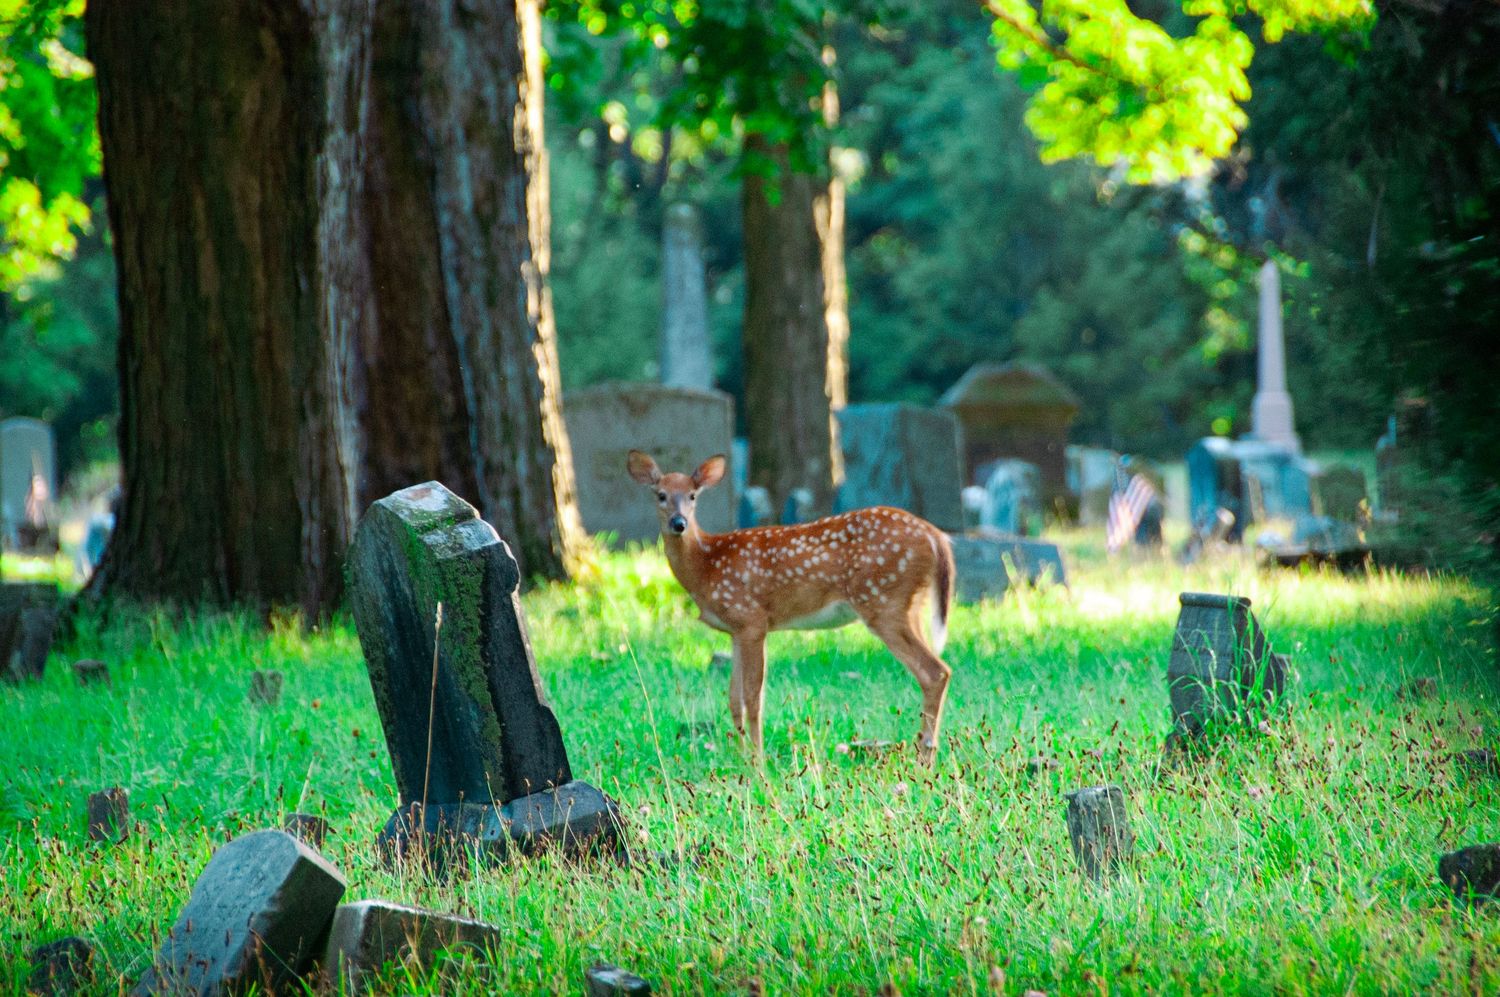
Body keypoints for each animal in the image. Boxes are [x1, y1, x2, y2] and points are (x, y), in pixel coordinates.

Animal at [627, 450, 956, 765]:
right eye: (661, 495)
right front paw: (739, 758)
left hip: (883, 601)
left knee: (935, 672)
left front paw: (757, 762)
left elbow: (753, 696)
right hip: (909, 606)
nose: (679, 523)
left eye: (693, 495)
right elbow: (734, 698)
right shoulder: (735, 631)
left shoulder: (752, 620)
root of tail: (936, 536)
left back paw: (924, 759)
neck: (705, 565)